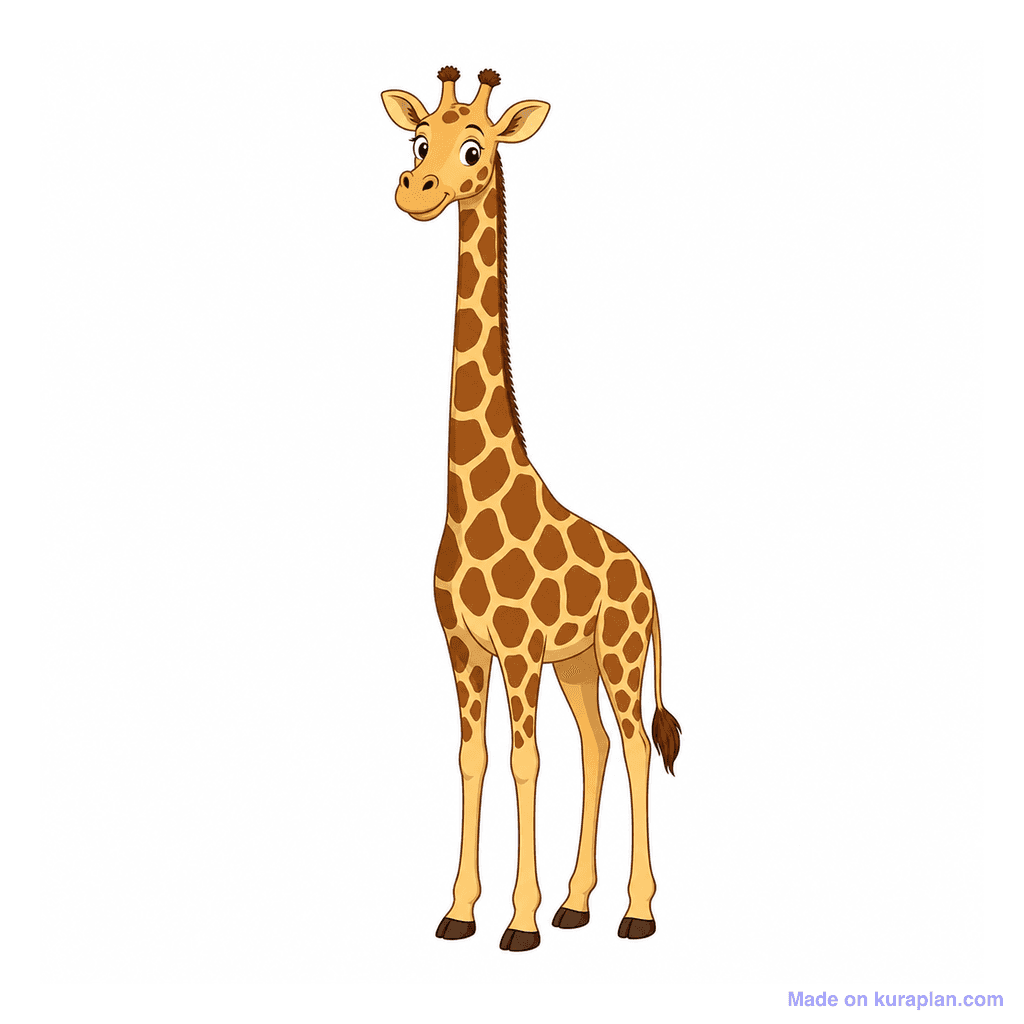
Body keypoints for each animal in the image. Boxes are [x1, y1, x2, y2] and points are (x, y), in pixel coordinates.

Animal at [382, 67, 681, 952]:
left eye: (474, 149)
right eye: (419, 139)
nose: (415, 190)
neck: (473, 497)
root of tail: (648, 580)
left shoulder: (517, 649)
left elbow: (525, 761)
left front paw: (518, 921)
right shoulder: (462, 645)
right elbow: (472, 758)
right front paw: (460, 911)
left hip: (618, 654)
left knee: (635, 745)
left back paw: (637, 912)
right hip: (578, 663)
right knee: (597, 745)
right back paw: (580, 904)